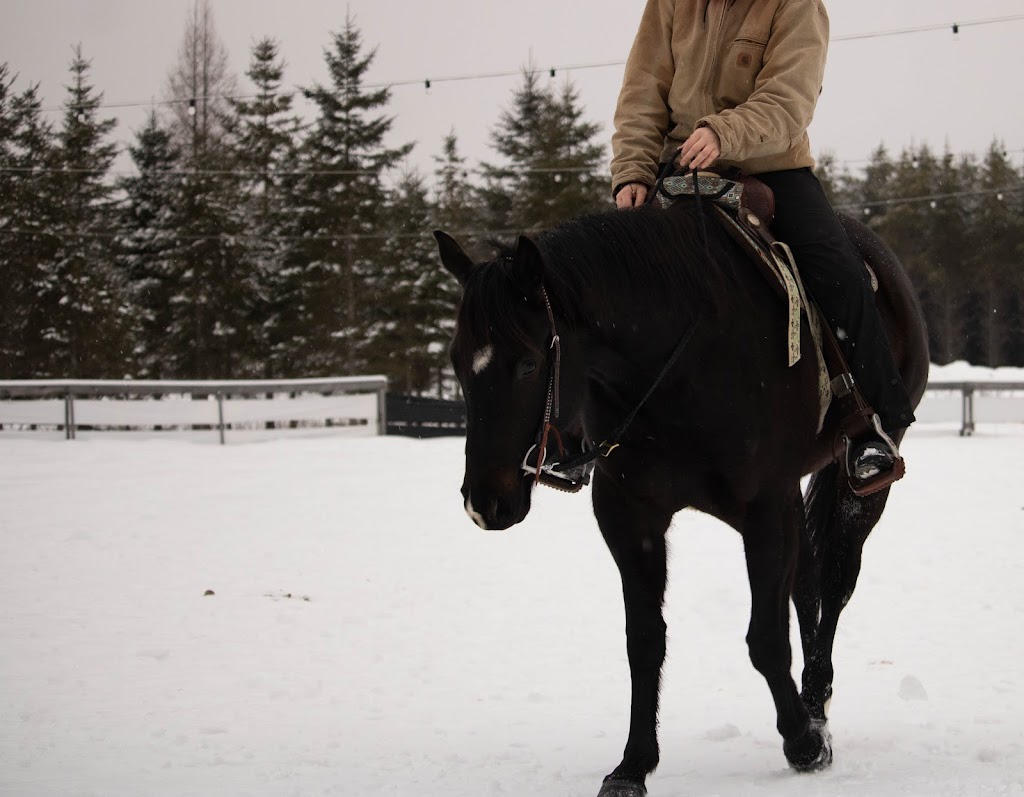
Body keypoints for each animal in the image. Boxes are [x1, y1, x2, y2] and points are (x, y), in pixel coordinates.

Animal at [432, 195, 929, 790]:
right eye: (457, 361)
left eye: (528, 361)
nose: (485, 503)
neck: (680, 364)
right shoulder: (629, 515)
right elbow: (645, 641)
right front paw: (633, 764)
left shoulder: (767, 507)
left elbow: (765, 639)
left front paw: (804, 742)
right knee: (808, 586)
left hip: (862, 478)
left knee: (832, 583)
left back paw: (814, 704)